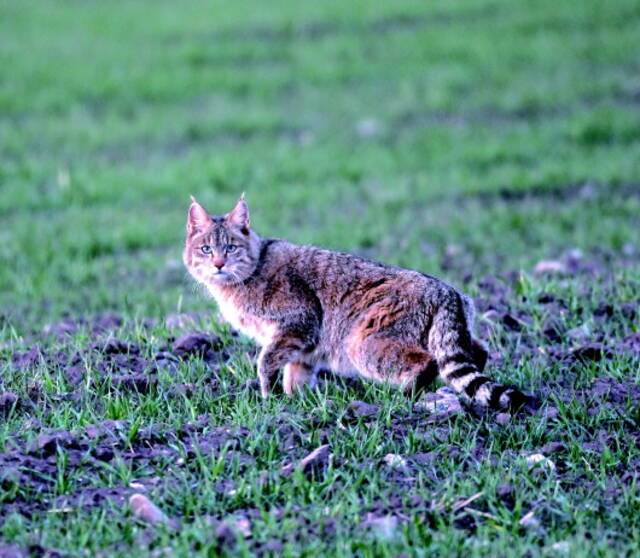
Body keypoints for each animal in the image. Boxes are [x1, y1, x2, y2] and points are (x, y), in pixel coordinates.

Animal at [184, 195, 528, 414]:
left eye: (230, 247)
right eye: (205, 249)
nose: (218, 264)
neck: (249, 272)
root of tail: (447, 291)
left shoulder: (299, 321)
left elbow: (267, 360)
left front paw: (270, 395)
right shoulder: (305, 343)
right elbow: (296, 373)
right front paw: (296, 402)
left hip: (362, 343)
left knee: (426, 361)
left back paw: (406, 394)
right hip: (453, 334)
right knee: (477, 352)